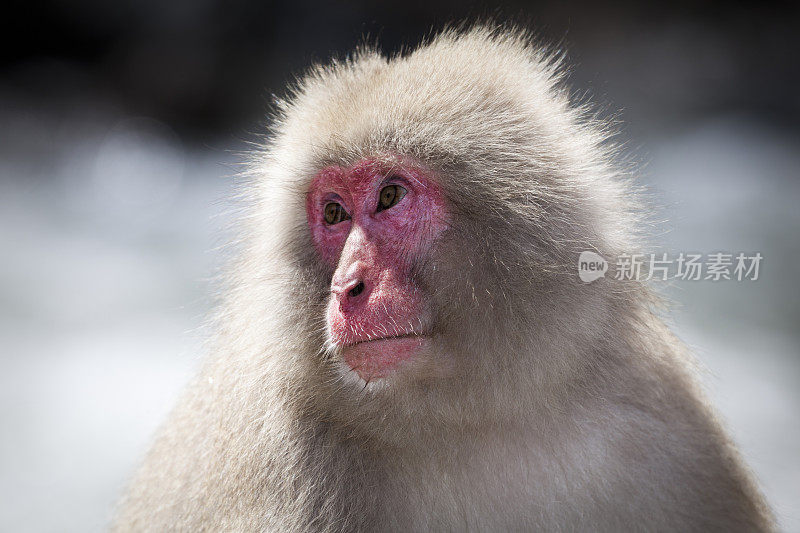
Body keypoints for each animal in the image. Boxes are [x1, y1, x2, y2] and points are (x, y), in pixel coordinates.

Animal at [114, 27, 776, 528]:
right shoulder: (285, 465)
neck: (473, 422)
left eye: (389, 196)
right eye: (334, 213)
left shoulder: (660, 422)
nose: (346, 288)